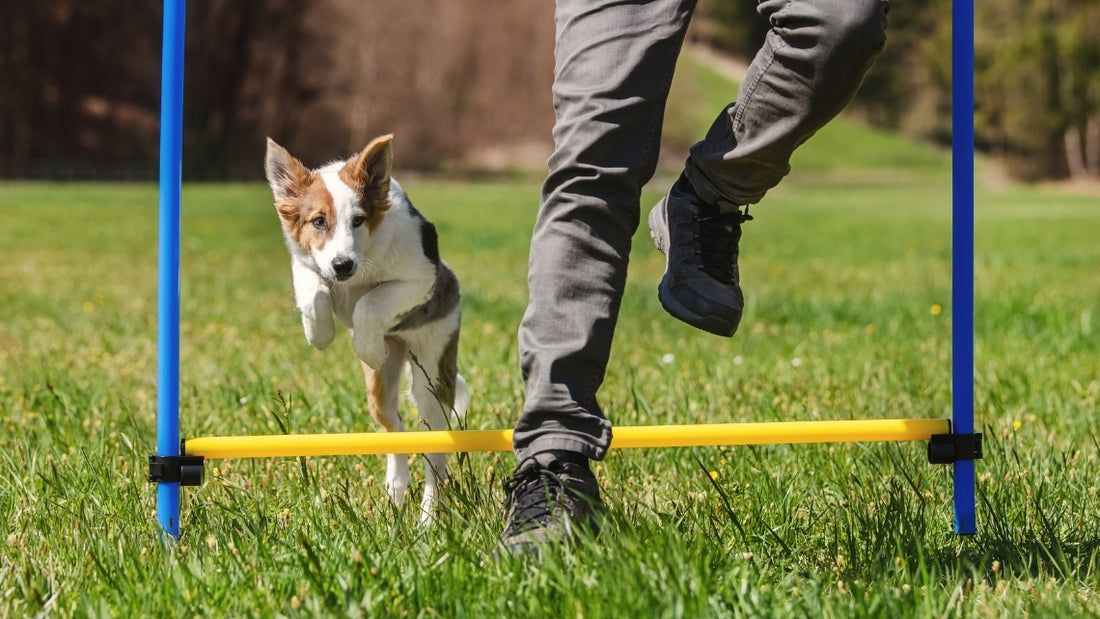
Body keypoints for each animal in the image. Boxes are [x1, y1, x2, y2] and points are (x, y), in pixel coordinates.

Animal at [267, 134, 473, 523]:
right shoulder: (305, 263)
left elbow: (369, 303)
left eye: (358, 220)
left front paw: (369, 348)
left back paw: (428, 519)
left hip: (431, 375)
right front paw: (320, 335)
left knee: (433, 455)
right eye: (318, 221)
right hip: (379, 390)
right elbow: (315, 292)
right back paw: (395, 492)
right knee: (396, 428)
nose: (342, 265)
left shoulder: (419, 277)